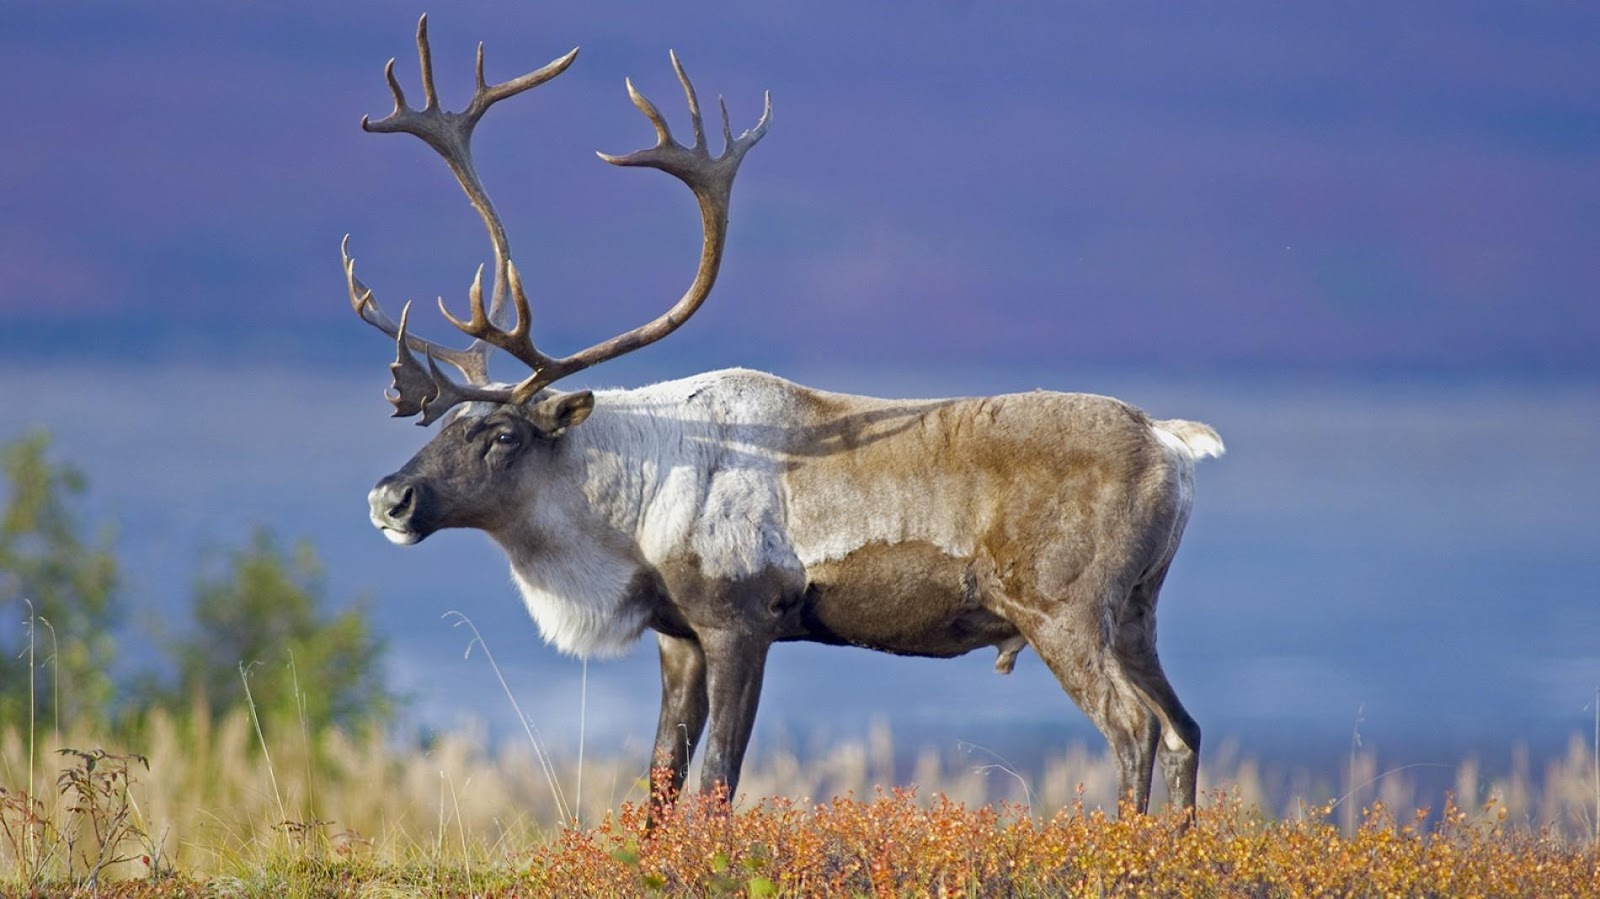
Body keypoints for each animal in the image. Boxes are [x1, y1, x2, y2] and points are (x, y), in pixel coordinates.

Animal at [345, 16, 1224, 816]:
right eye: (440, 427)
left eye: (501, 435)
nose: (388, 498)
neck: (635, 507)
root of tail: (1171, 444)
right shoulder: (678, 636)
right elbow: (660, 779)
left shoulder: (741, 622)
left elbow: (715, 783)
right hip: (1136, 609)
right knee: (1185, 728)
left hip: (1063, 612)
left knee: (1135, 728)